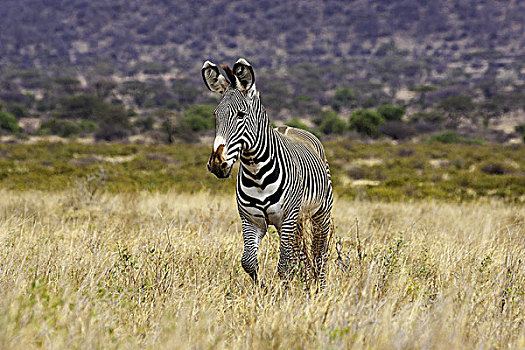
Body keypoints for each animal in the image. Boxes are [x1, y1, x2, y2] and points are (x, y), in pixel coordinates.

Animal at [203, 56, 334, 288]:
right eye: (216, 115)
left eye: (241, 115)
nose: (217, 164)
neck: (257, 173)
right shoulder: (251, 220)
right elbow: (248, 261)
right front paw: (262, 289)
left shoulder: (286, 218)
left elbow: (284, 264)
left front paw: (284, 292)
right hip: (299, 219)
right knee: (301, 253)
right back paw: (305, 284)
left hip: (320, 214)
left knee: (319, 253)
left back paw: (320, 288)